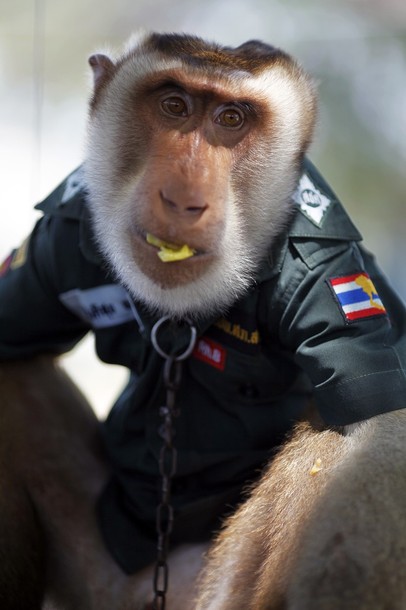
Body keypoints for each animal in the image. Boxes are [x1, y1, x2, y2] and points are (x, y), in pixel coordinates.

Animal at [0, 29, 406, 608]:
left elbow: (367, 432)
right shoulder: (57, 240)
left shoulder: (327, 269)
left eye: (231, 119)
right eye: (174, 106)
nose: (182, 197)